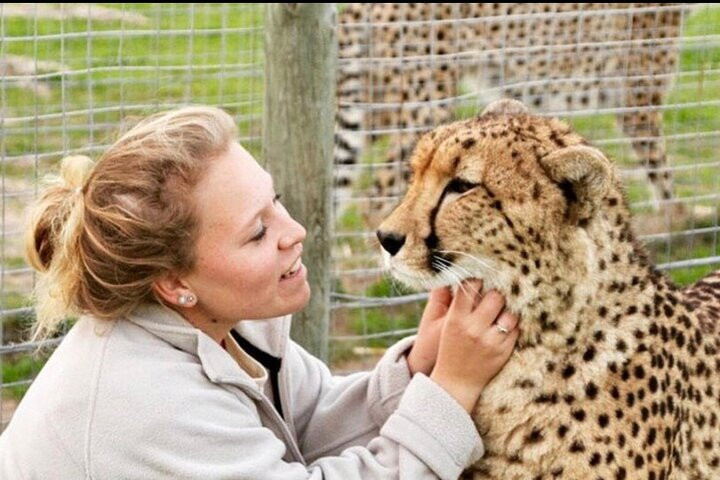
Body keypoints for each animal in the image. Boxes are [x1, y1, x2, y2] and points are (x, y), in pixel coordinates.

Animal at [335, 3, 691, 227]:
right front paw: (680, 222)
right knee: (376, 198)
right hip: (427, 100)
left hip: (377, 104)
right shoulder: (638, 104)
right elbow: (663, 173)